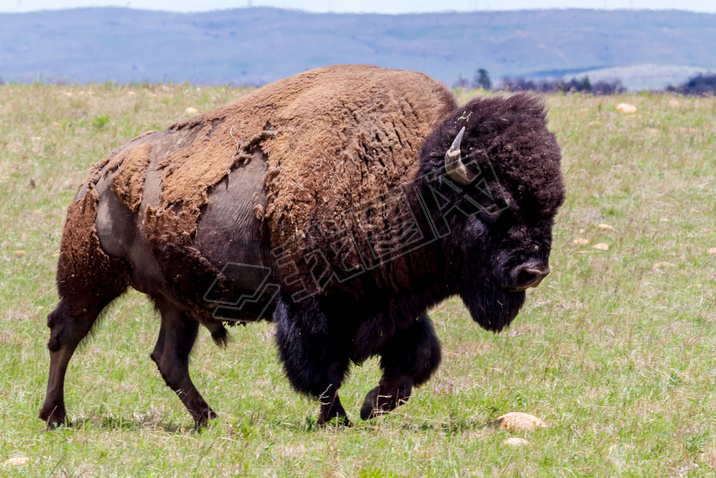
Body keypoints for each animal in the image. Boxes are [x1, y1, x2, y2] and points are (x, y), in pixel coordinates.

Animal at [40, 64, 564, 430]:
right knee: (64, 334)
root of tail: (99, 174)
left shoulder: (391, 302)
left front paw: (373, 405)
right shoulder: (312, 304)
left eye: (553, 205)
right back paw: (55, 415)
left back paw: (210, 420)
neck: (409, 185)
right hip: (90, 279)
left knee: (169, 359)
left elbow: (416, 360)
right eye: (493, 203)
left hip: (175, 301)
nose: (532, 271)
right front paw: (341, 418)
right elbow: (323, 369)